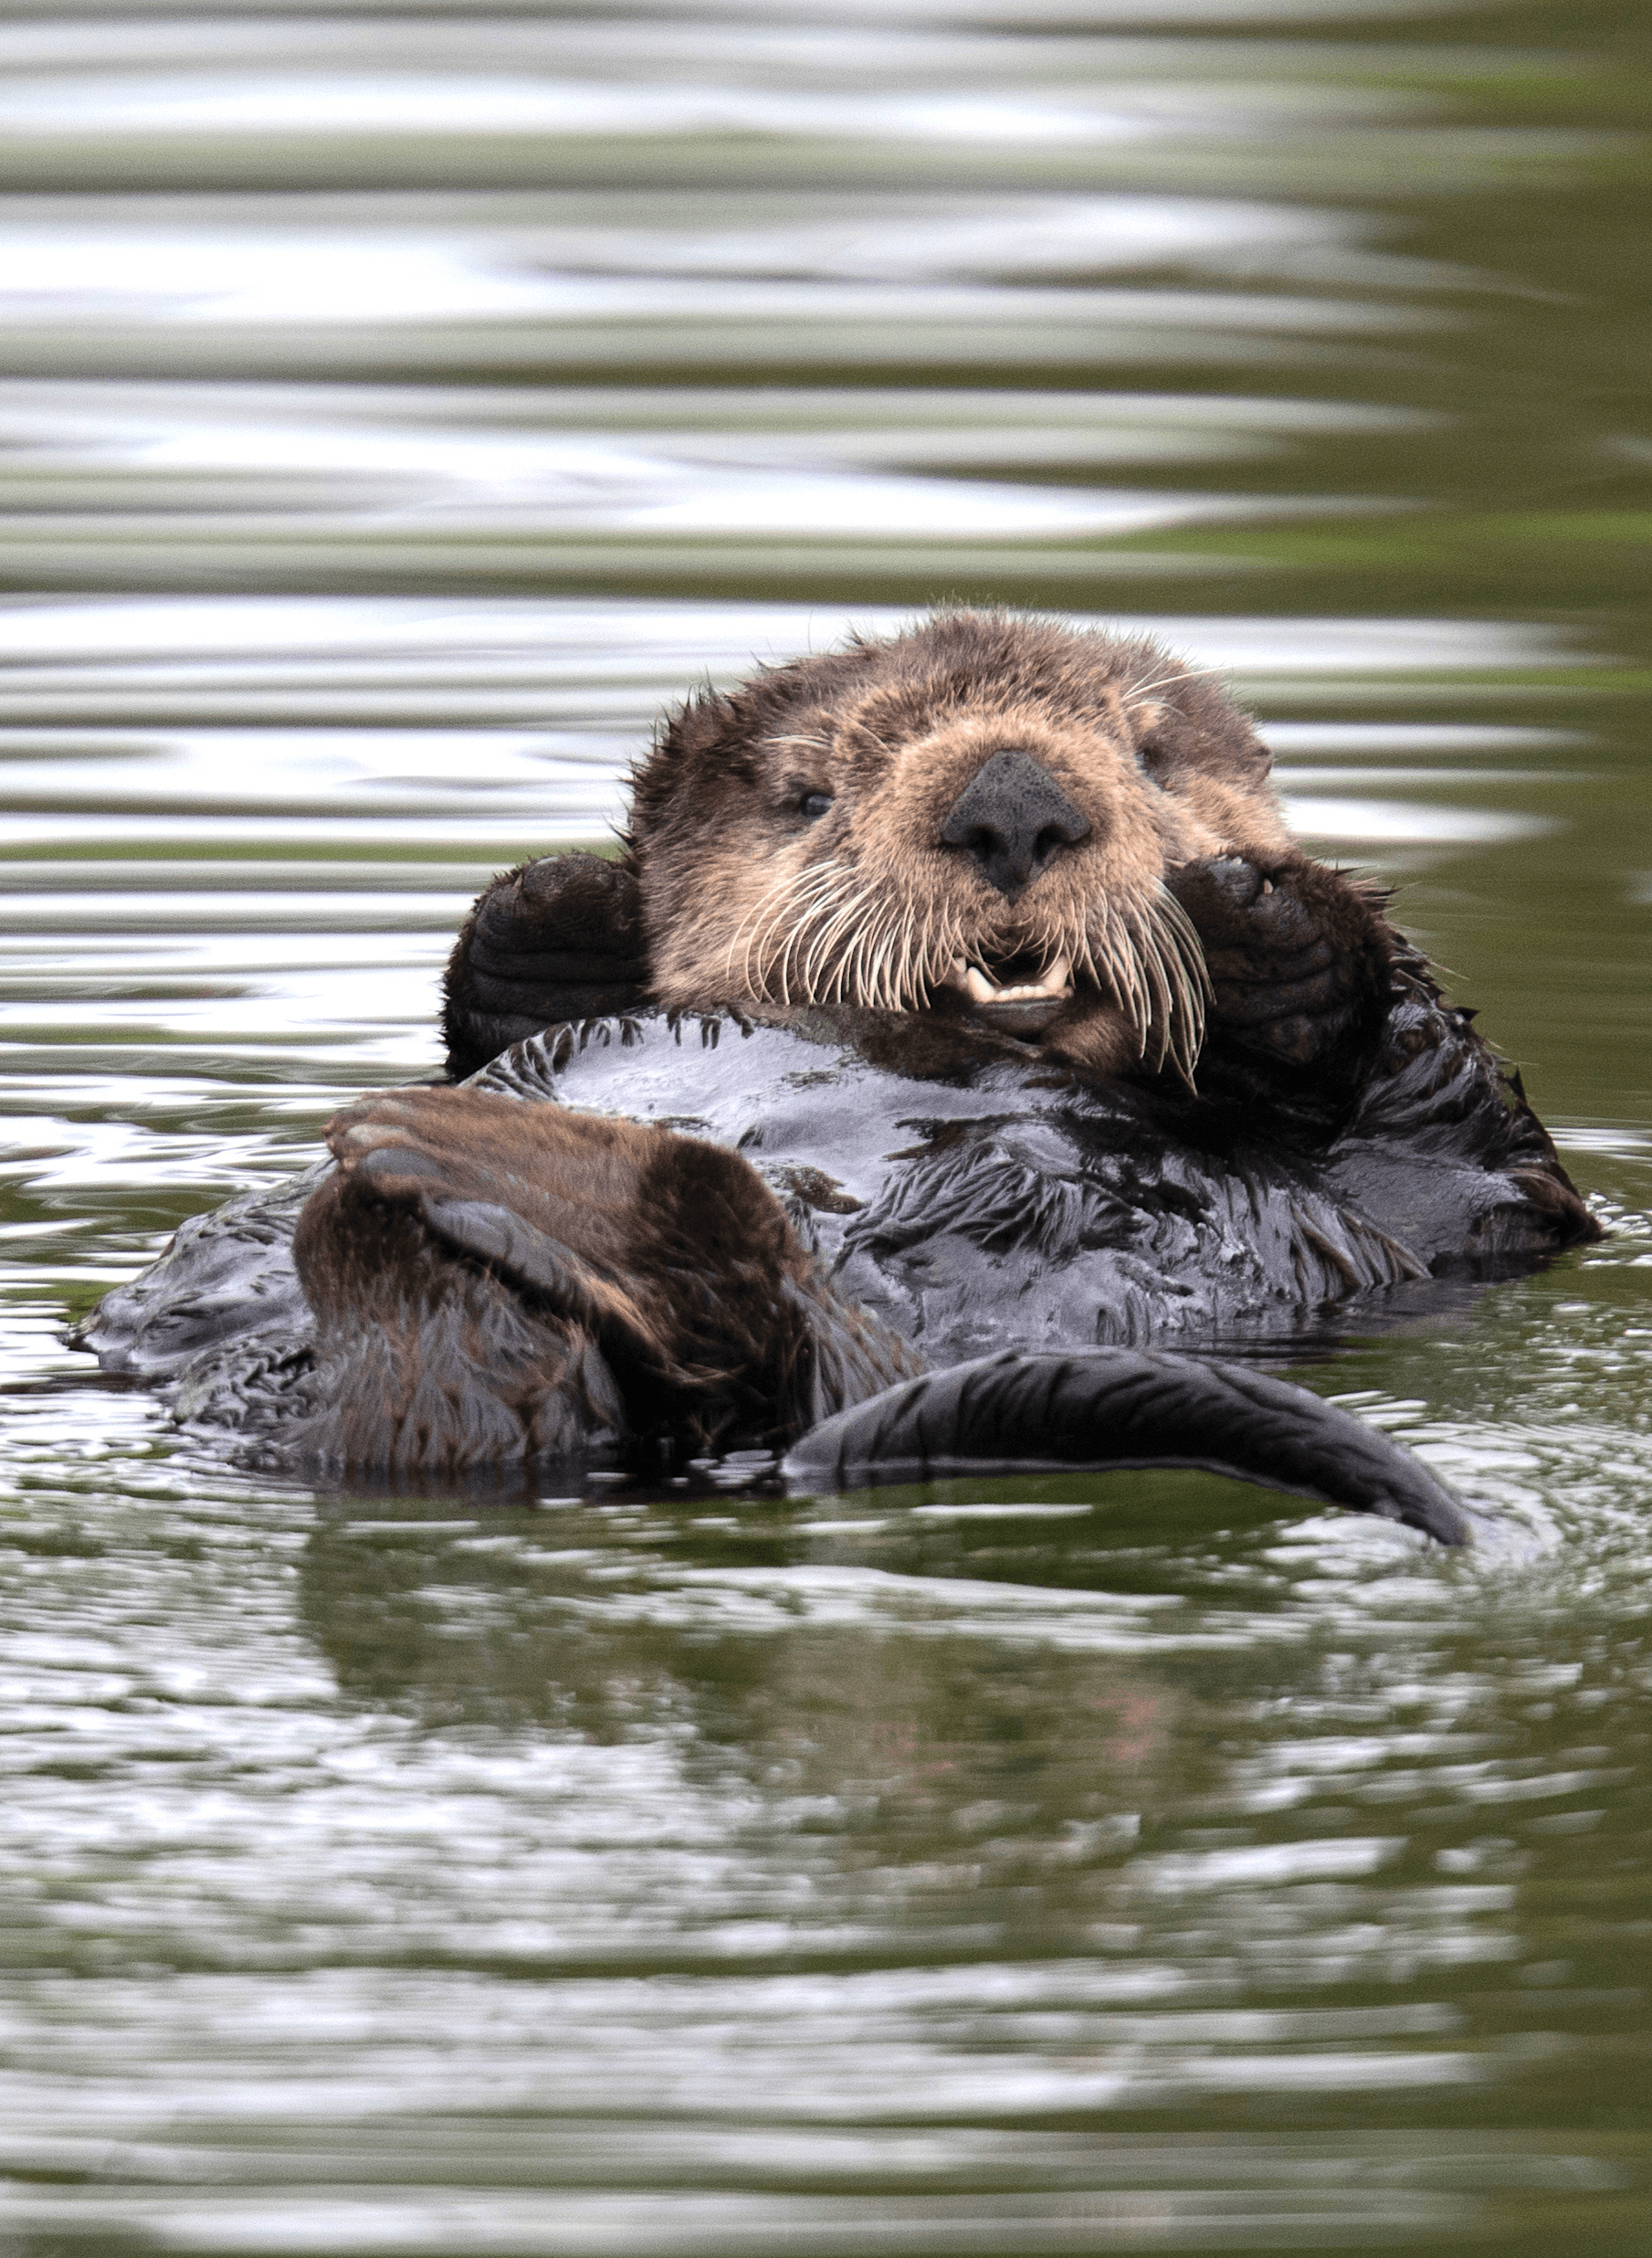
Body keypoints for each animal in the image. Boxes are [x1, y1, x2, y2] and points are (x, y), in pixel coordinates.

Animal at [75, 614, 1598, 1544]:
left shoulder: (1460, 1181)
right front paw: (558, 912)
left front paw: (1264, 923)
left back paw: (525, 1181)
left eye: (1151, 759)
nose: (1012, 796)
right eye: (810, 795)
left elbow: (1451, 1119)